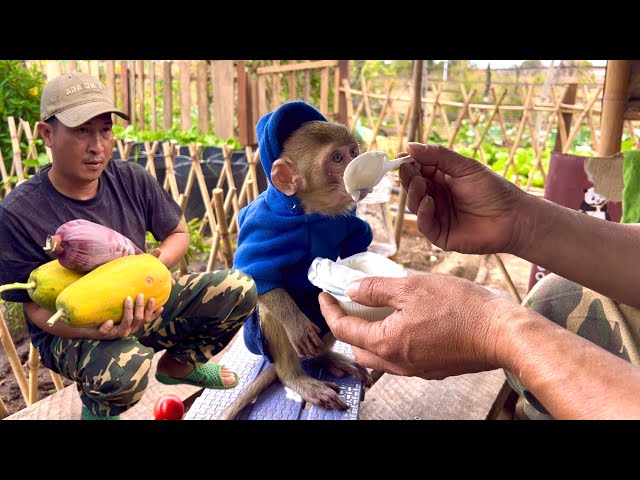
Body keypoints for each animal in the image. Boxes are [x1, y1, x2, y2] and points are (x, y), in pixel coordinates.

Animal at [222, 101, 376, 420]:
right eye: (337, 158)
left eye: (353, 152)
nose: (358, 164)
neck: (309, 211)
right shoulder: (261, 224)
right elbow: (256, 275)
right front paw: (295, 324)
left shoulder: (346, 217)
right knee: (271, 310)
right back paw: (294, 376)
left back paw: (328, 358)